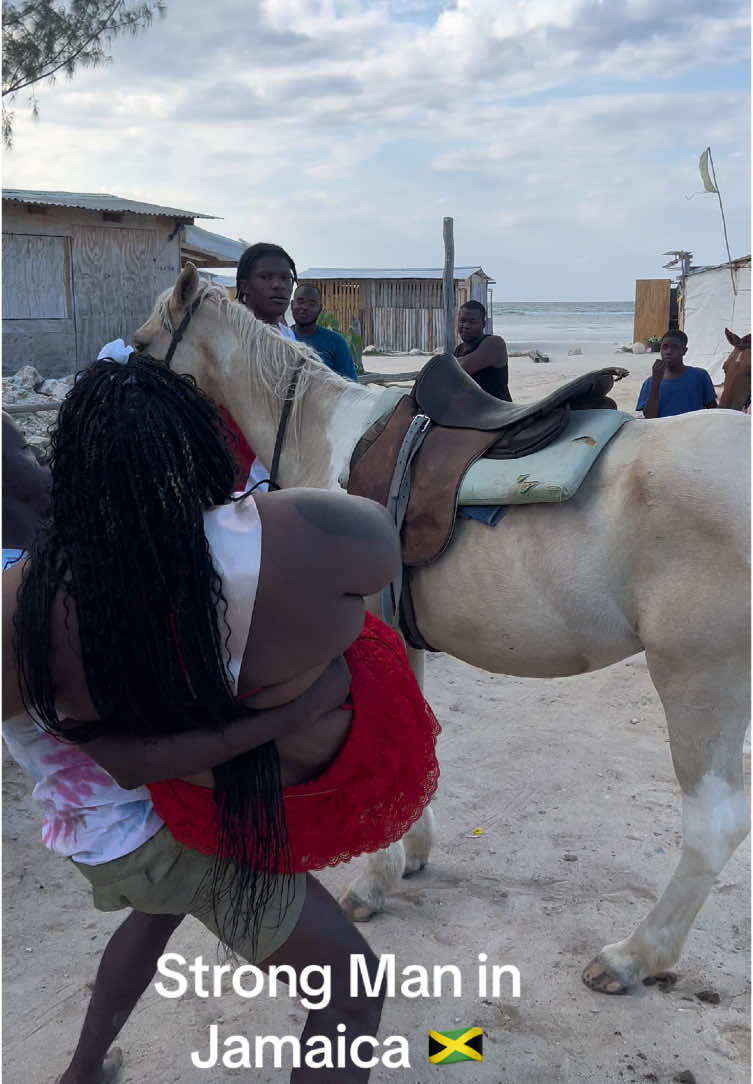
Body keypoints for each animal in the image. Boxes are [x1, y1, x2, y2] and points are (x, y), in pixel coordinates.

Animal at [132, 266, 749, 992]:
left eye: (140, 345)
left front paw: (376, 880)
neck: (322, 439)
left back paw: (634, 955)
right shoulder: (400, 636)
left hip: (697, 680)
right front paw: (413, 851)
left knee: (714, 825)